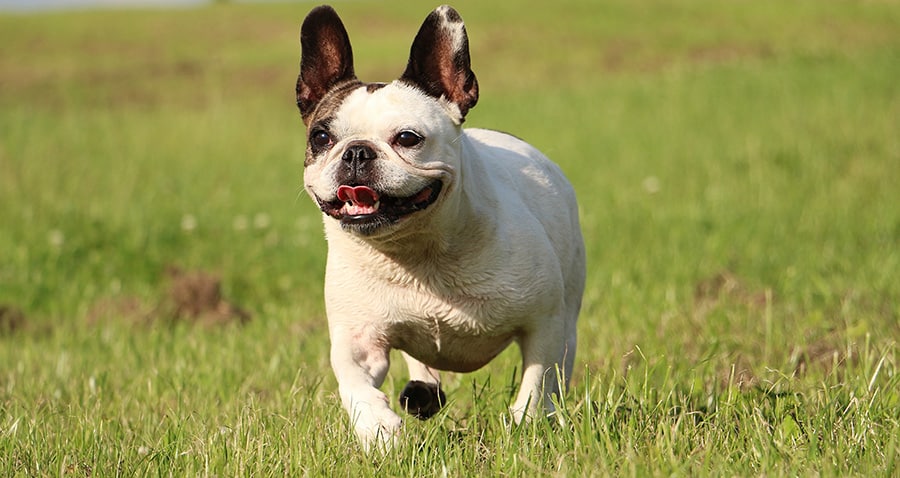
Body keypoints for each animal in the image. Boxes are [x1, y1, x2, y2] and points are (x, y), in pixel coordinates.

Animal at [298, 4, 588, 452]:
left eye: (407, 138)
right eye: (321, 136)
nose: (357, 152)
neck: (417, 251)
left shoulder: (544, 322)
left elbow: (538, 379)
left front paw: (526, 423)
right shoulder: (357, 337)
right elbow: (354, 383)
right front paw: (378, 428)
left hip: (569, 309)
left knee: (561, 368)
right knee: (420, 365)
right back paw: (422, 393)